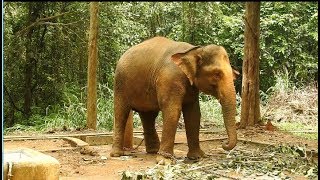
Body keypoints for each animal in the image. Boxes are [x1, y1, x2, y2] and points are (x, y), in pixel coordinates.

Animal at [111, 36, 239, 163]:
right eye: (217, 74)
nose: (224, 143)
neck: (194, 50)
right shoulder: (170, 79)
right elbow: (173, 111)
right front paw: (165, 161)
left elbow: (193, 114)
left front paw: (197, 157)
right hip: (120, 84)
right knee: (121, 113)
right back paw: (117, 154)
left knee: (148, 116)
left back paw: (153, 151)